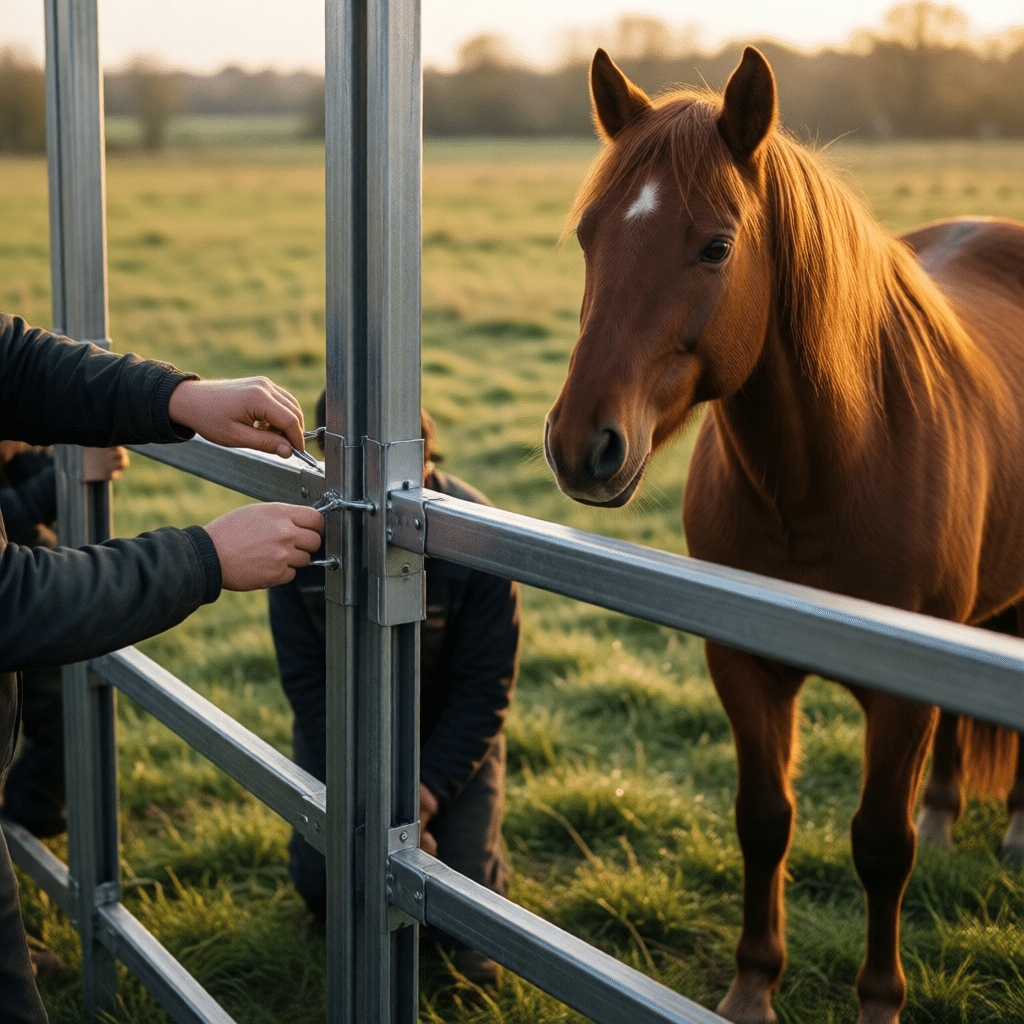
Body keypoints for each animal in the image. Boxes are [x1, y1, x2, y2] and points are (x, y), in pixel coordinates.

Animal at [544, 45, 1024, 1024]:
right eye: (588, 235)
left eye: (716, 246)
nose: (581, 445)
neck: (823, 475)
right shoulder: (741, 661)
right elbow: (764, 819)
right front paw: (752, 986)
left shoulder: (901, 695)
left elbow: (879, 844)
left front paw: (879, 1000)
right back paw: (946, 815)